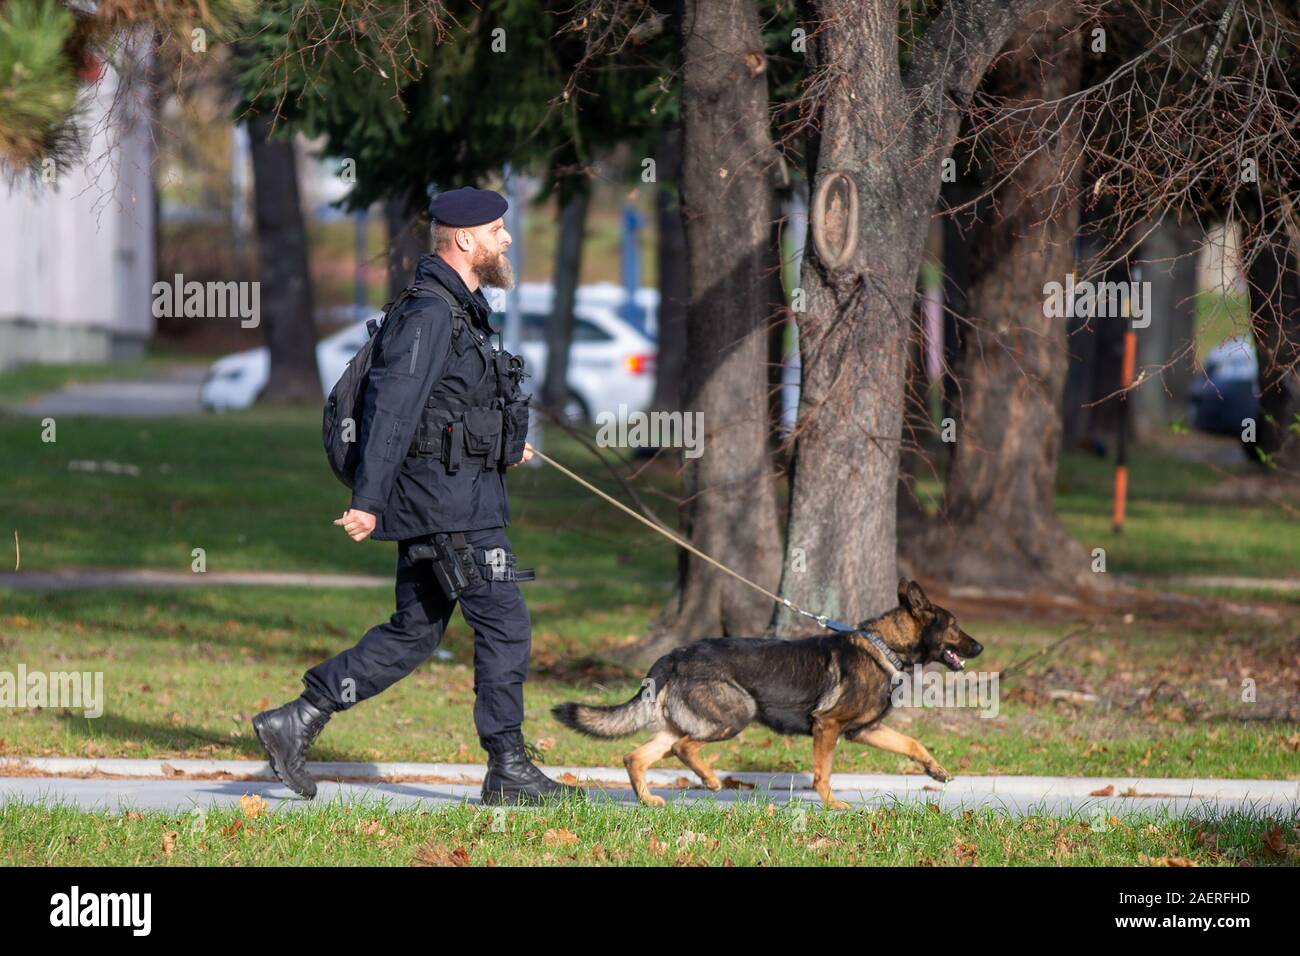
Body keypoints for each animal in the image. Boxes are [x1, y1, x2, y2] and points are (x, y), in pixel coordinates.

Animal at [551, 582, 982, 806]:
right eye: (954, 626)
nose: (980, 648)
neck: (885, 645)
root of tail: (674, 656)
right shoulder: (828, 727)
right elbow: (823, 773)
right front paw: (831, 804)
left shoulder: (863, 731)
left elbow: (911, 742)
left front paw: (935, 770)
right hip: (737, 712)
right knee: (682, 748)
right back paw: (710, 780)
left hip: (685, 722)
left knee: (637, 755)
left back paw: (647, 799)